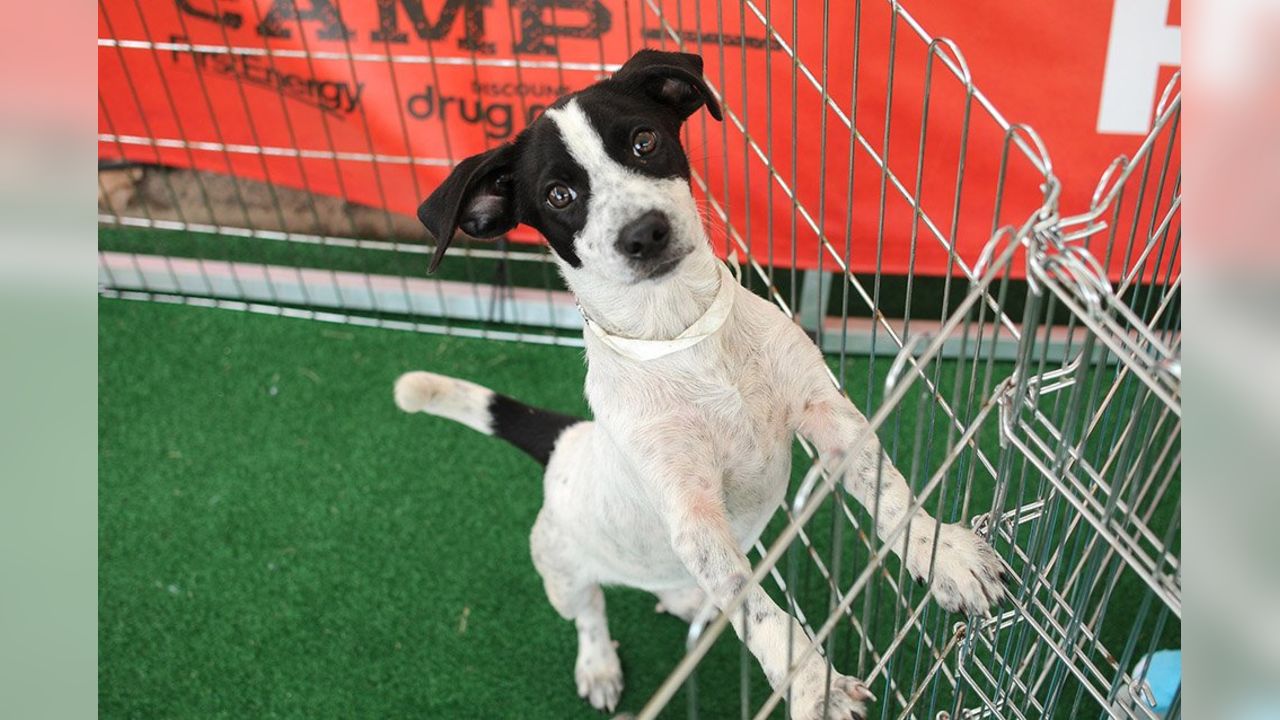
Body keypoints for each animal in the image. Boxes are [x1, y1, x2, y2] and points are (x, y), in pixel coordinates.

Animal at [394, 50, 1003, 717]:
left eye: (644, 140)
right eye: (558, 194)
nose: (644, 232)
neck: (683, 339)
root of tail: (567, 441)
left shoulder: (830, 415)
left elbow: (890, 495)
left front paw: (942, 553)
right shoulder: (695, 514)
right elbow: (762, 614)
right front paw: (814, 686)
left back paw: (685, 600)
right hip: (560, 569)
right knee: (590, 614)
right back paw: (600, 664)